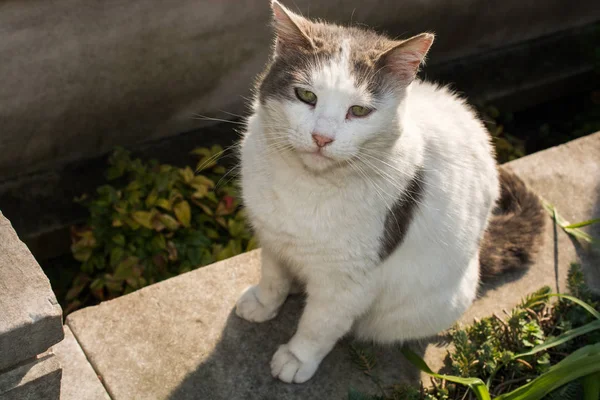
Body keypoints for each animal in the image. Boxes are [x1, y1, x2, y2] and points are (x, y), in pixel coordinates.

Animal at [234, 0, 544, 384]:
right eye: (306, 95)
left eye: (359, 111)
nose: (322, 137)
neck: (305, 184)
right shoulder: (273, 238)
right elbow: (273, 277)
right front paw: (264, 303)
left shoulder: (351, 280)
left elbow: (320, 323)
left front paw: (297, 356)